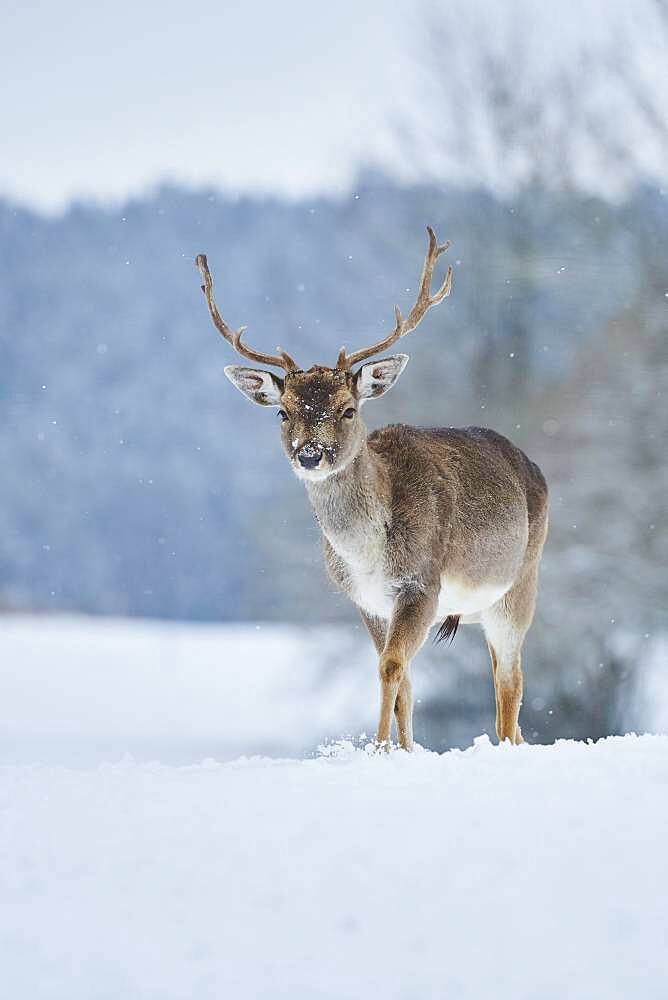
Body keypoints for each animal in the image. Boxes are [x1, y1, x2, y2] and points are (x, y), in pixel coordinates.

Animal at [193, 230, 548, 748]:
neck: (369, 555)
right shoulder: (366, 601)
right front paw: (403, 748)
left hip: (521, 583)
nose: (310, 454)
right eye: (282, 411)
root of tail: (532, 467)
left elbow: (391, 665)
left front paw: (380, 748)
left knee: (511, 684)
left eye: (347, 408)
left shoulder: (421, 583)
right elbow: (404, 682)